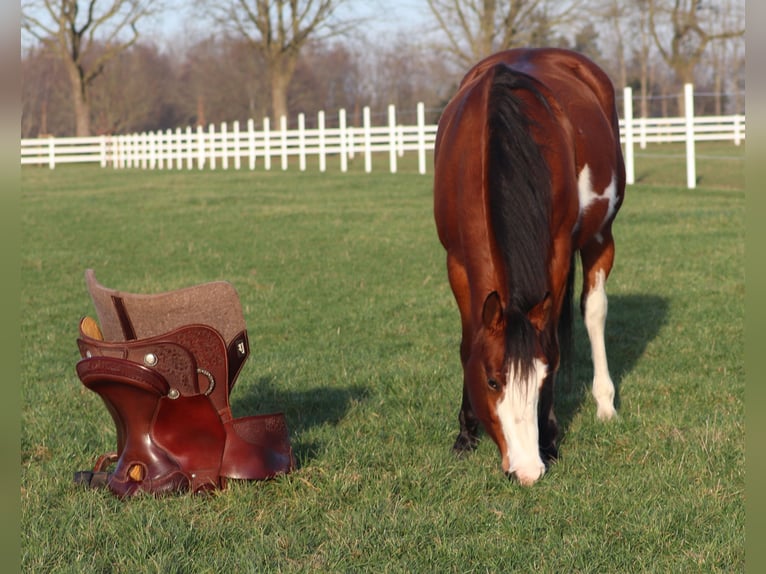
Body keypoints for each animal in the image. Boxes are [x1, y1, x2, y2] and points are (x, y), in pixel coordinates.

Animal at [433, 48, 625, 486]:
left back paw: (605, 403)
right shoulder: (456, 260)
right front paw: (465, 434)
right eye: (491, 380)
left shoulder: (556, 253)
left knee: (594, 311)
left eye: (541, 378)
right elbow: (468, 342)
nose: (527, 470)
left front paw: (550, 439)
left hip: (600, 236)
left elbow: (552, 339)